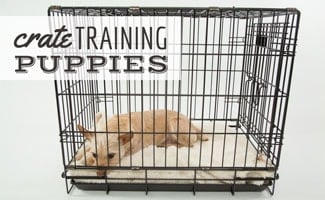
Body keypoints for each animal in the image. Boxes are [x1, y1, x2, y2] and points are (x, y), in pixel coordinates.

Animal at [75, 109, 208, 177]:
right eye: (95, 154)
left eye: (111, 155)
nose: (99, 175)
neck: (114, 126)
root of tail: (191, 123)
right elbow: (87, 146)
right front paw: (80, 155)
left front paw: (83, 160)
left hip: (174, 123)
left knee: (188, 144)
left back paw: (166, 144)